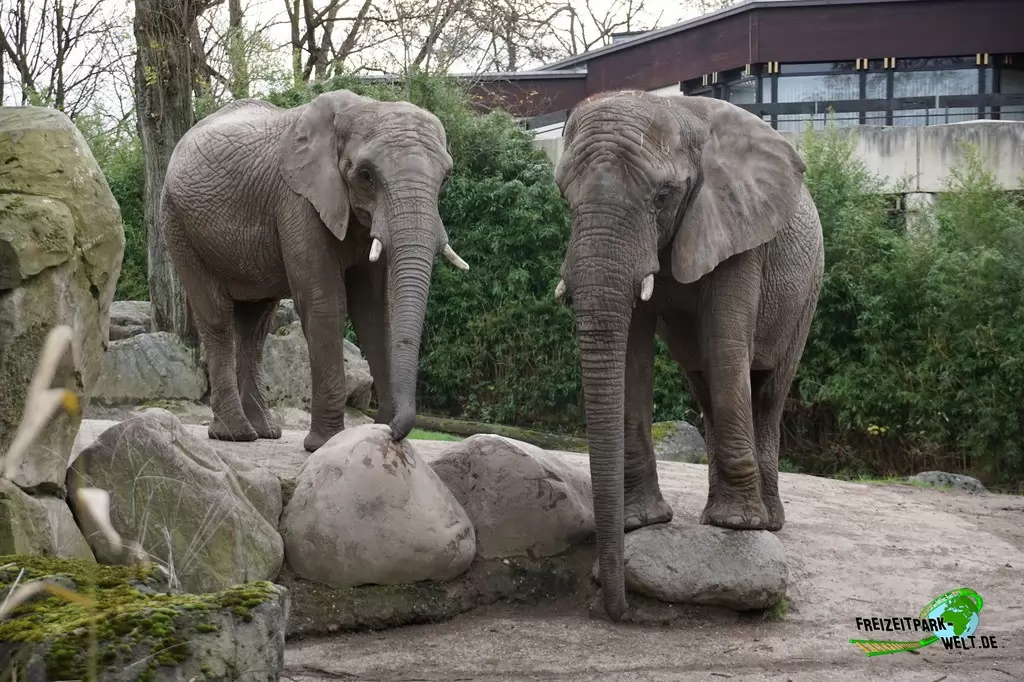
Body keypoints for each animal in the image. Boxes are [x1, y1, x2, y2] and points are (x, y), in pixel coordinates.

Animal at [161, 89, 468, 452]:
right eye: (366, 175)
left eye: (445, 179)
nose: (392, 430)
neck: (358, 108)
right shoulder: (298, 201)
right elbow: (325, 302)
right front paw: (326, 444)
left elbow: (373, 309)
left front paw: (374, 432)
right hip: (178, 224)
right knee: (217, 318)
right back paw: (235, 434)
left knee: (256, 326)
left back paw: (264, 431)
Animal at [552, 90, 825, 621]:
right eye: (564, 197)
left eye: (663, 196)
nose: (618, 612)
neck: (679, 115)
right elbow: (634, 353)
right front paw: (642, 522)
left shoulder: (740, 230)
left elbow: (726, 343)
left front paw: (739, 527)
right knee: (706, 386)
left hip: (808, 293)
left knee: (767, 392)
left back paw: (762, 522)